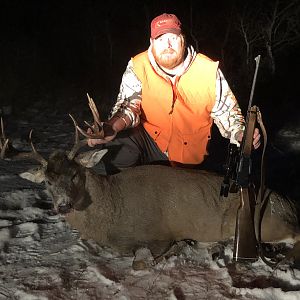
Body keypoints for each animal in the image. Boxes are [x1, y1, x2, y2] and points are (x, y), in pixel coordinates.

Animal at [12, 95, 300, 268]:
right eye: (47, 182)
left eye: (74, 174)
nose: (63, 205)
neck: (112, 209)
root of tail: (289, 205)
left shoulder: (158, 235)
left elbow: (140, 261)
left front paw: (181, 248)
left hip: (269, 223)